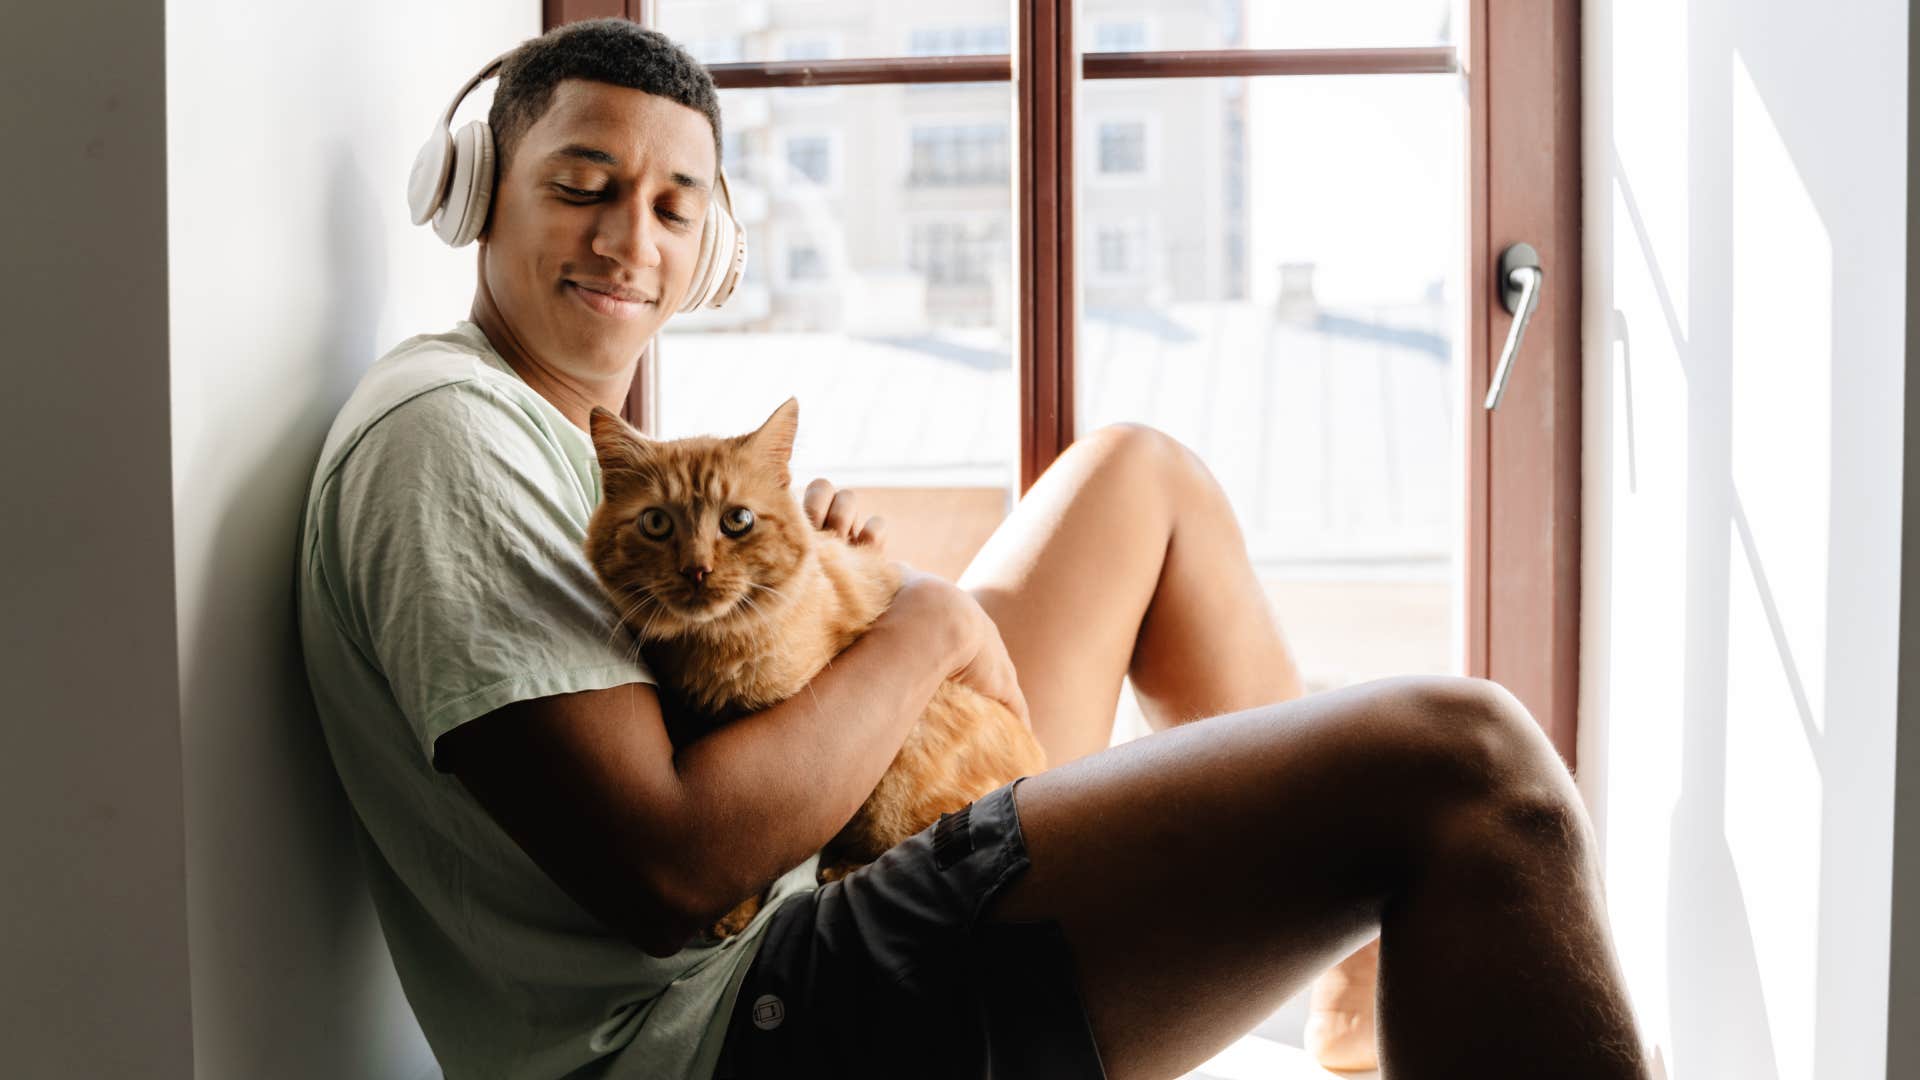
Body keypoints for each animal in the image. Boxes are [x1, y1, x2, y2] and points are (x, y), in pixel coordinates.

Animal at [579, 397, 1052, 941]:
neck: (710, 652)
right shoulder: (693, 724)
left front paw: (737, 911)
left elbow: (766, 850)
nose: (696, 570)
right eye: (656, 523)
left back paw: (842, 865)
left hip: (902, 766)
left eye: (737, 520)